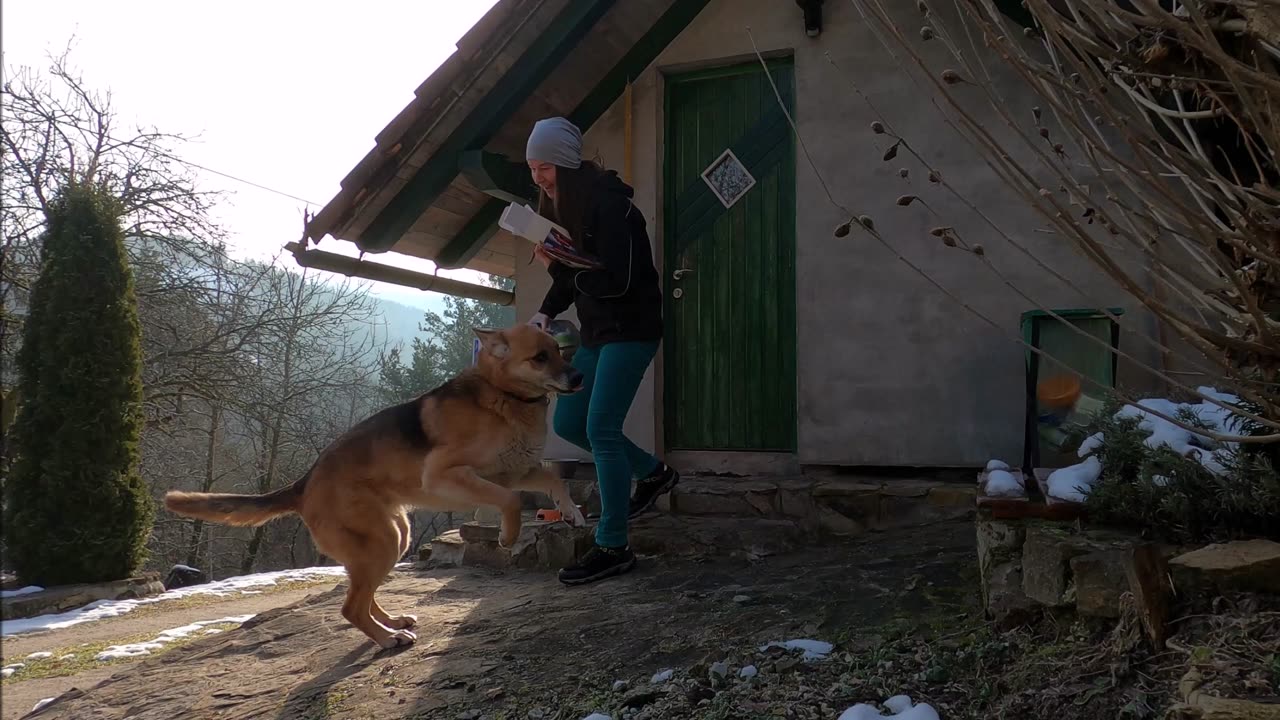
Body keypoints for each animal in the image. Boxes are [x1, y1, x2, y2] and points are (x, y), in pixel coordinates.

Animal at [162, 322, 591, 648]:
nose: (580, 376)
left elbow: (552, 477)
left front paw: (571, 513)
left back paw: (392, 624)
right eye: (539, 357)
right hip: (383, 541)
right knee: (350, 606)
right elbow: (509, 500)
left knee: (363, 599)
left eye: (560, 350)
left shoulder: (513, 470)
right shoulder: (449, 475)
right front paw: (508, 535)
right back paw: (386, 639)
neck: (503, 394)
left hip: (394, 537)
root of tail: (304, 483)